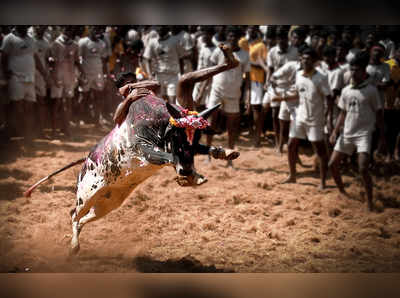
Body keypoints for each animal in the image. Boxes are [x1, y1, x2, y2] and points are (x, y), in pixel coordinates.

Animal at [25, 43, 241, 254]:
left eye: (196, 137)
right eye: (176, 136)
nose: (186, 170)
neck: (154, 119)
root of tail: (85, 162)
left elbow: (203, 149)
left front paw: (224, 153)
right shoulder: (142, 149)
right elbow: (167, 156)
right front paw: (189, 176)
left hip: (109, 203)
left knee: (85, 218)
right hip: (86, 195)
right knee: (74, 214)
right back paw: (73, 246)